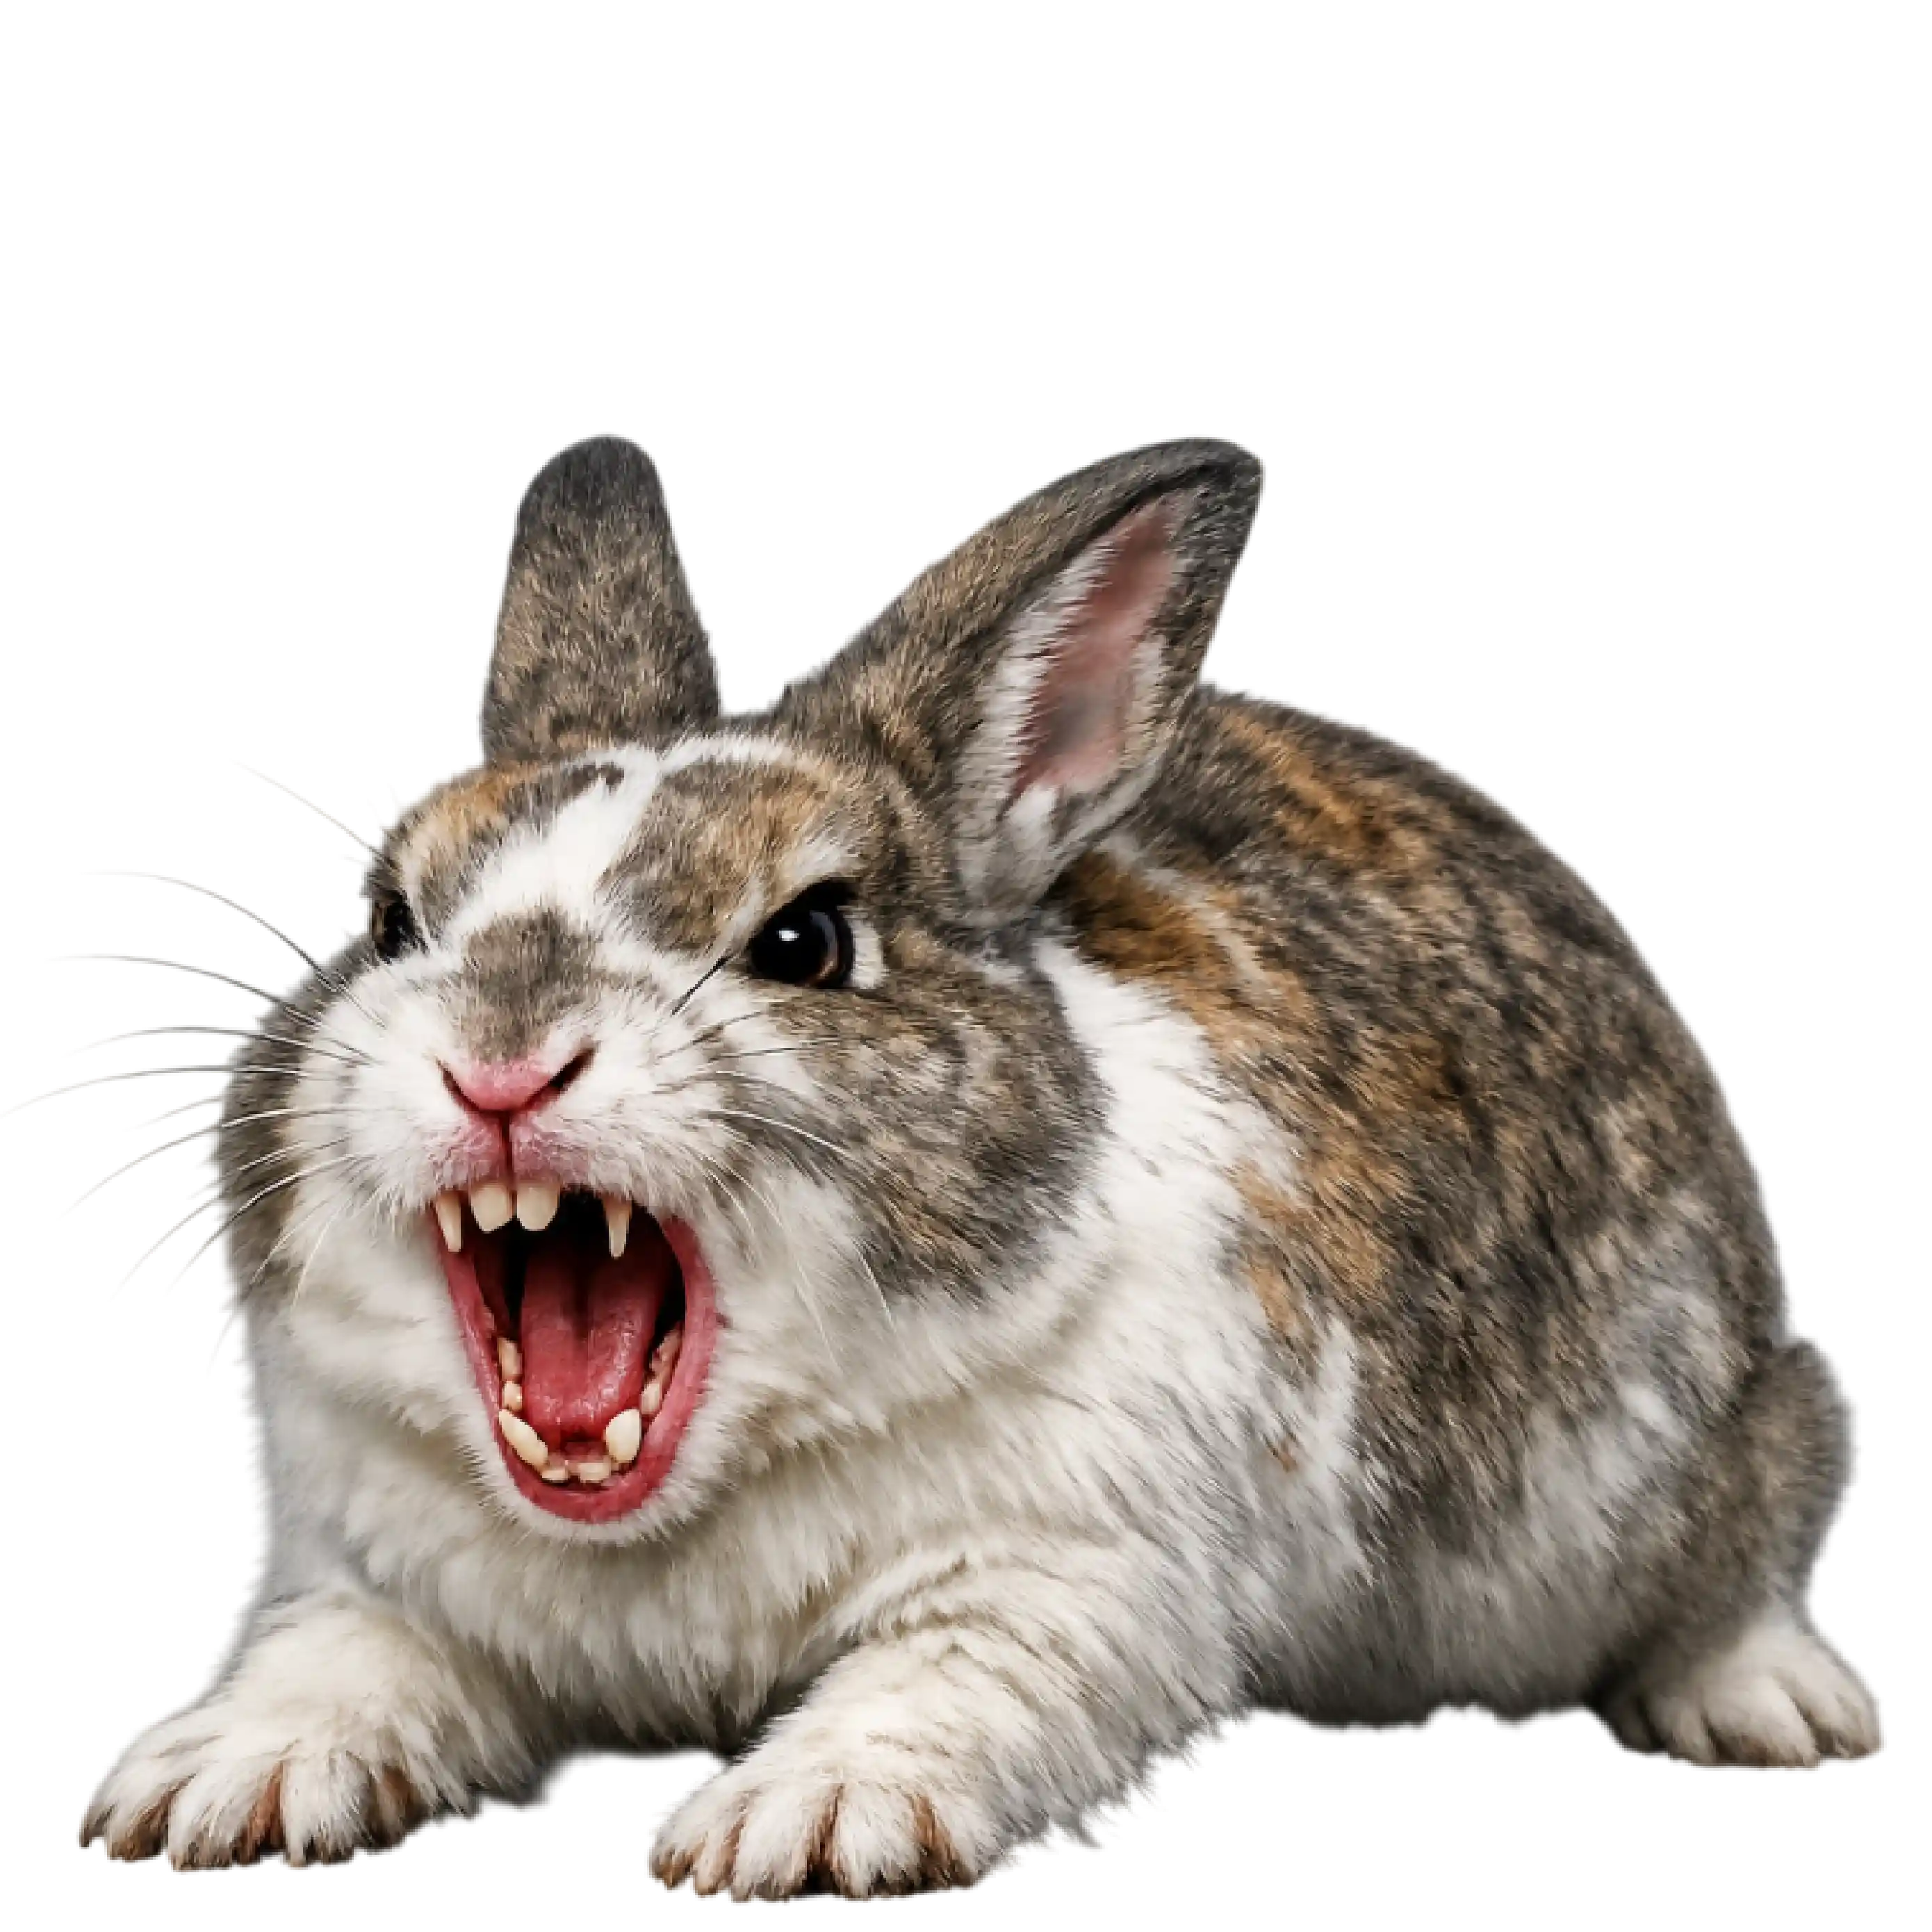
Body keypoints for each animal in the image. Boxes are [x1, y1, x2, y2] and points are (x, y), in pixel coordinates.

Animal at [75, 430, 1883, 1897]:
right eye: (391, 918)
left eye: (804, 940)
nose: (499, 1061)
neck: (670, 1516)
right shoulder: (362, 1570)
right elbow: (336, 1663)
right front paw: (209, 1787)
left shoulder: (1069, 1579)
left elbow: (946, 1689)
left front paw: (796, 1828)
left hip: (1717, 1443)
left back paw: (1777, 1711)